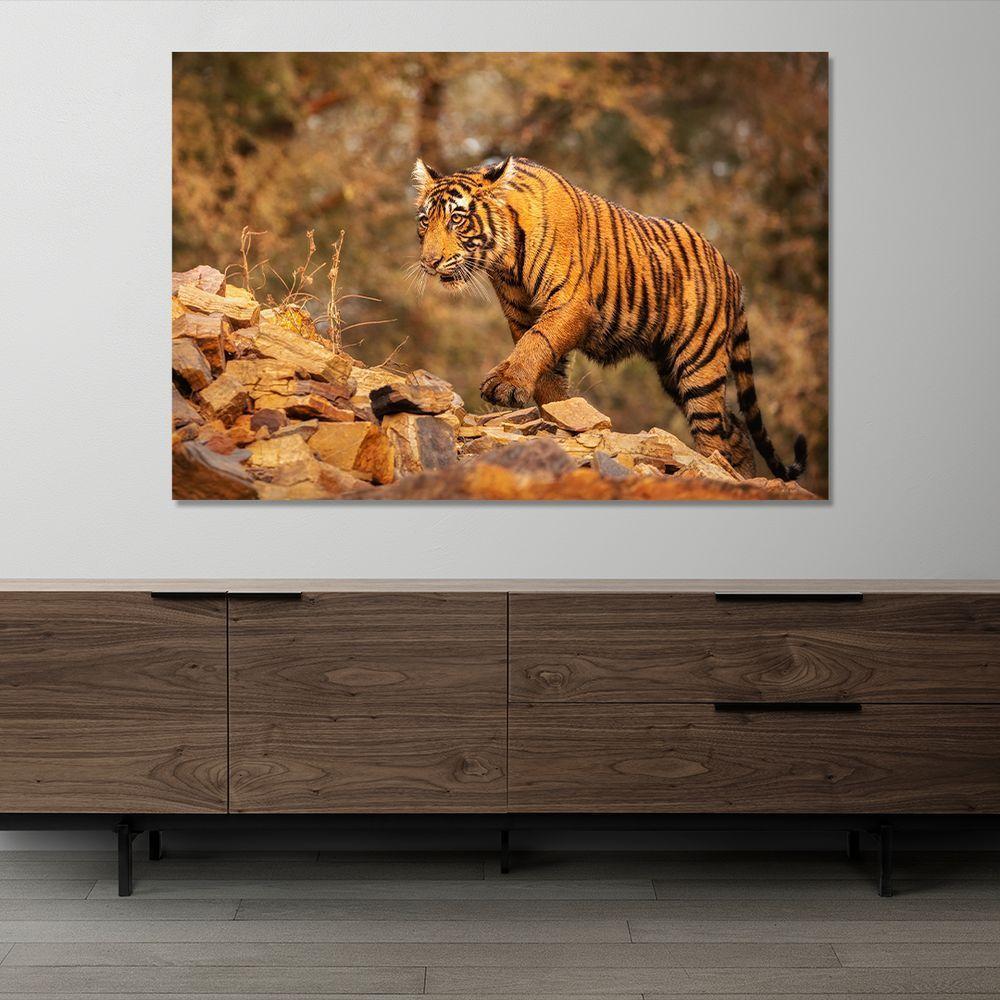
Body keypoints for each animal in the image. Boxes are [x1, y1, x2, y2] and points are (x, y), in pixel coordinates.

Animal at [412, 155, 807, 481]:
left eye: (457, 219)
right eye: (425, 222)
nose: (429, 262)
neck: (505, 261)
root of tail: (732, 271)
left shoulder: (570, 303)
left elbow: (537, 342)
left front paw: (505, 385)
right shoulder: (520, 314)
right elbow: (545, 369)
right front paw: (560, 415)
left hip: (699, 363)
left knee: (714, 434)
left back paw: (721, 473)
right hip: (672, 369)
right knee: (736, 429)